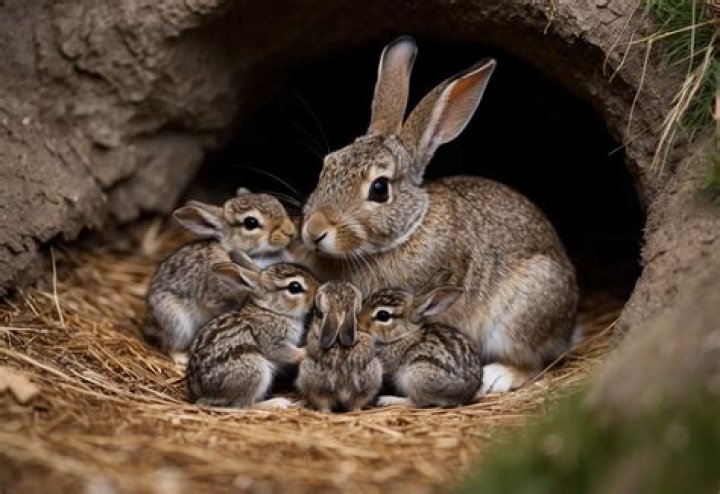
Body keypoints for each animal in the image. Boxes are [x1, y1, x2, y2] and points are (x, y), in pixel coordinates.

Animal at [143, 189, 296, 365]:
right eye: (250, 223)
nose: (290, 231)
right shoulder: (217, 299)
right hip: (178, 323)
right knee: (169, 344)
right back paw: (181, 359)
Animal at [187, 252, 319, 409]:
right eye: (294, 287)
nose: (318, 289)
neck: (272, 310)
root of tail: (201, 391)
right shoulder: (273, 341)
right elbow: (286, 352)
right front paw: (306, 351)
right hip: (257, 371)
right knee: (245, 405)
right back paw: (278, 402)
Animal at [300, 35, 578, 394]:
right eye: (327, 165)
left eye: (379, 189)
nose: (314, 231)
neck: (408, 230)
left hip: (524, 310)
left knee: (533, 362)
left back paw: (497, 377)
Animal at [360, 280, 483, 408]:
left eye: (383, 315)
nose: (358, 321)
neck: (404, 335)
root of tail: (463, 392)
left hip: (418, 377)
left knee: (417, 402)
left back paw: (387, 400)